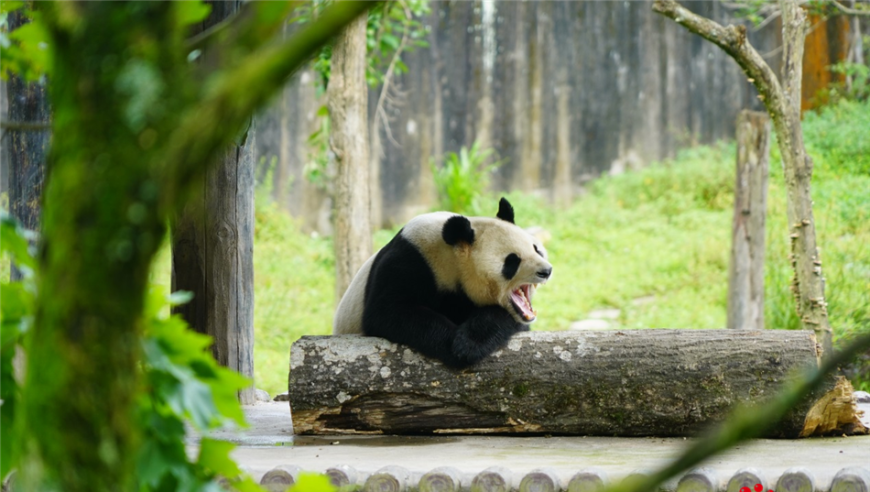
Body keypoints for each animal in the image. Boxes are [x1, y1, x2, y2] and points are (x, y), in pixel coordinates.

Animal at [334, 198, 552, 368]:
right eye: (512, 261)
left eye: (536, 249)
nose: (546, 271)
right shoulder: (409, 260)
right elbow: (388, 312)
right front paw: (458, 347)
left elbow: (506, 319)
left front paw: (470, 342)